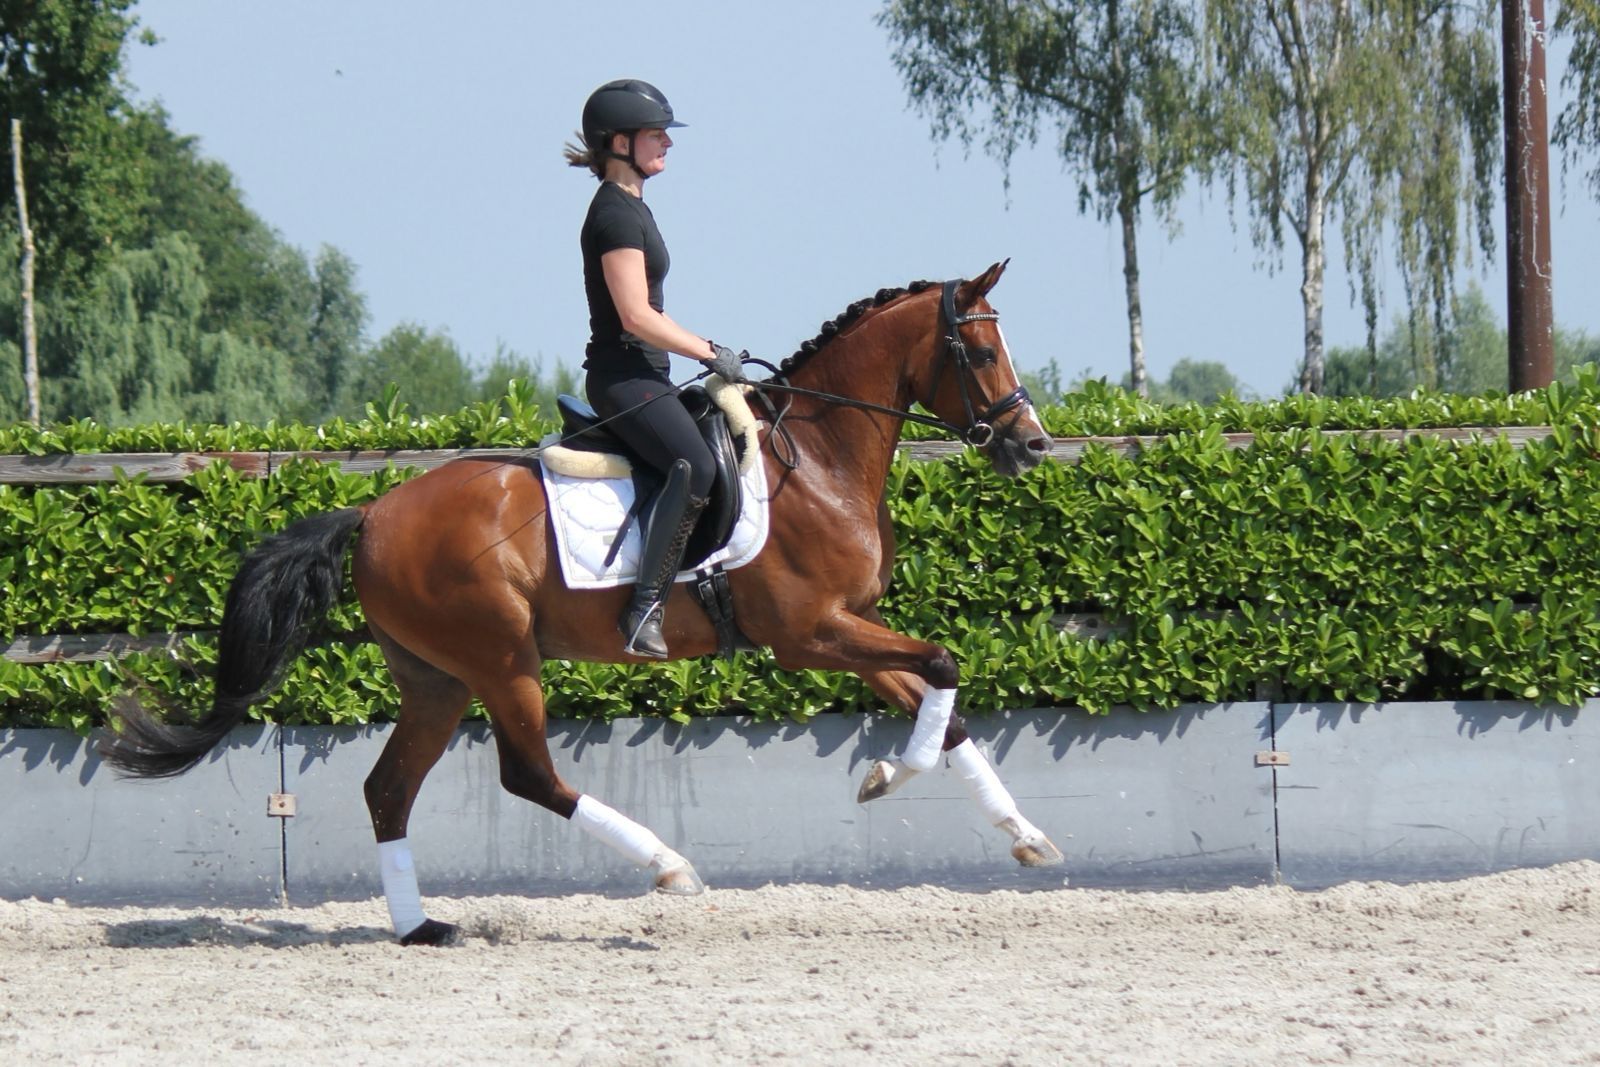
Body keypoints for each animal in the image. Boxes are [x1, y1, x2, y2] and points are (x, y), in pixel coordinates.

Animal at [101, 260, 1062, 945]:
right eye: (981, 353)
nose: (1032, 446)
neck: (818, 457)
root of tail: (372, 512)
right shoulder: (812, 633)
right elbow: (943, 662)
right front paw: (890, 775)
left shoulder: (845, 634)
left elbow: (943, 704)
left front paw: (1019, 833)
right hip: (501, 660)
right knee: (527, 774)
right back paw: (669, 866)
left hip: (436, 678)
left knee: (388, 788)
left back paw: (421, 927)